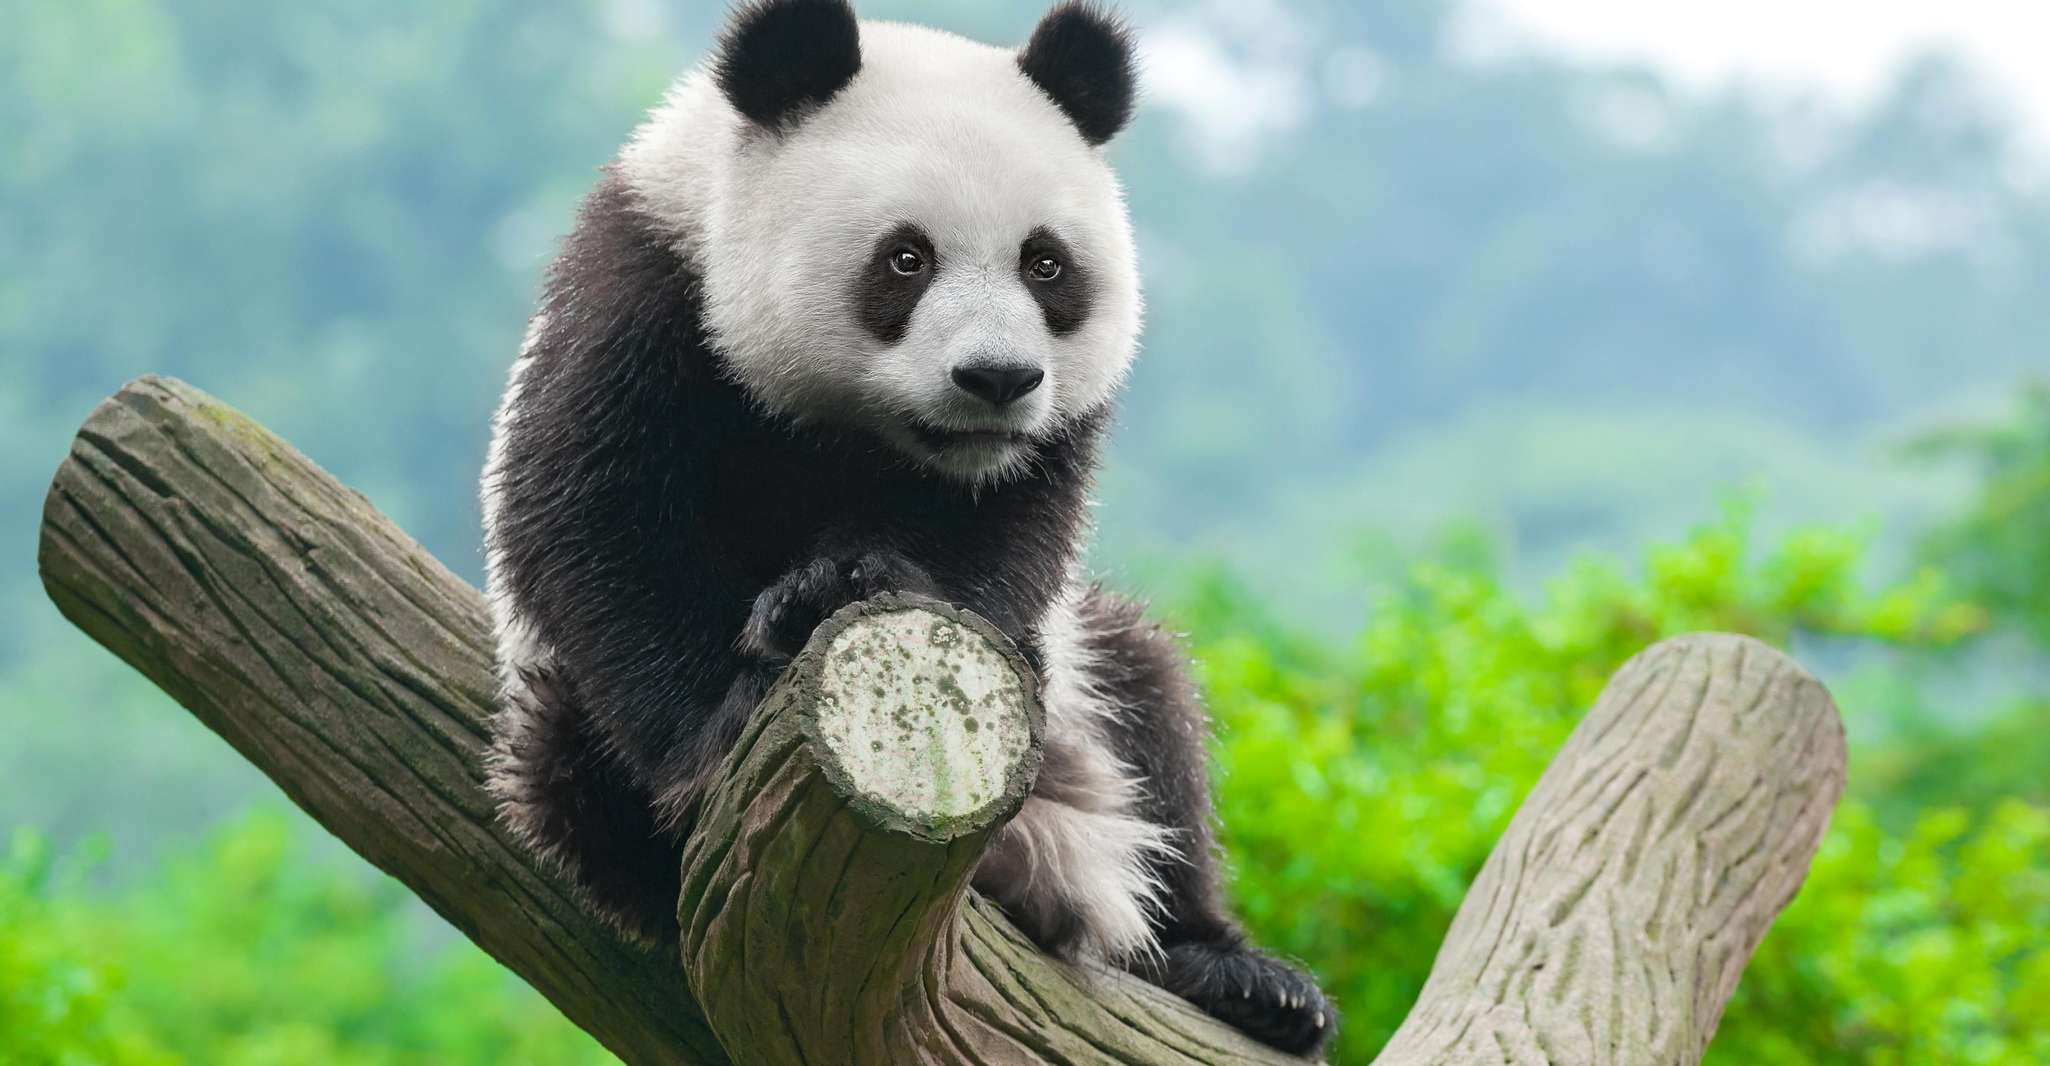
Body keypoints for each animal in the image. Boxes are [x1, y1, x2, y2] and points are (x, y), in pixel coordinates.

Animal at [481, 0, 1333, 1055]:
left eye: (1045, 264)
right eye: (906, 257)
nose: (998, 378)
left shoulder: (1035, 453)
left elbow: (998, 537)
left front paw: (841, 582)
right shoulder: (646, 294)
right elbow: (597, 525)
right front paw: (728, 715)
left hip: (1086, 697)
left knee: (1154, 709)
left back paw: (1244, 978)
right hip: (556, 721)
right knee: (565, 769)